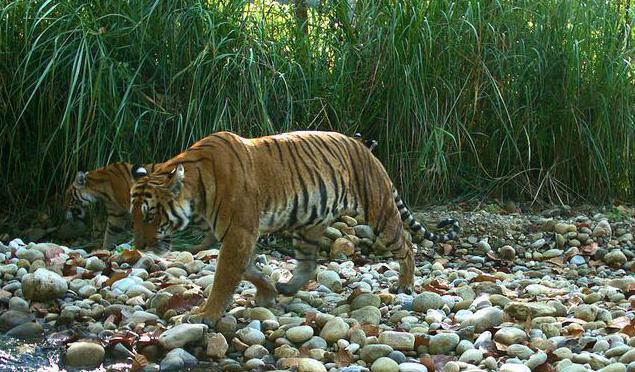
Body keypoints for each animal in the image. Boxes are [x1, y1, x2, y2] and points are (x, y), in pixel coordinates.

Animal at [129, 132, 460, 322]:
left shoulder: (239, 233)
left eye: (150, 215)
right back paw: (288, 286)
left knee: (407, 244)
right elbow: (247, 269)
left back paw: (405, 284)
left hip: (380, 214)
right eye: (134, 214)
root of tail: (366, 149)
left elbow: (225, 276)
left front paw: (205, 315)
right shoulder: (238, 236)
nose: (139, 246)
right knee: (309, 264)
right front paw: (268, 292)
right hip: (308, 224)